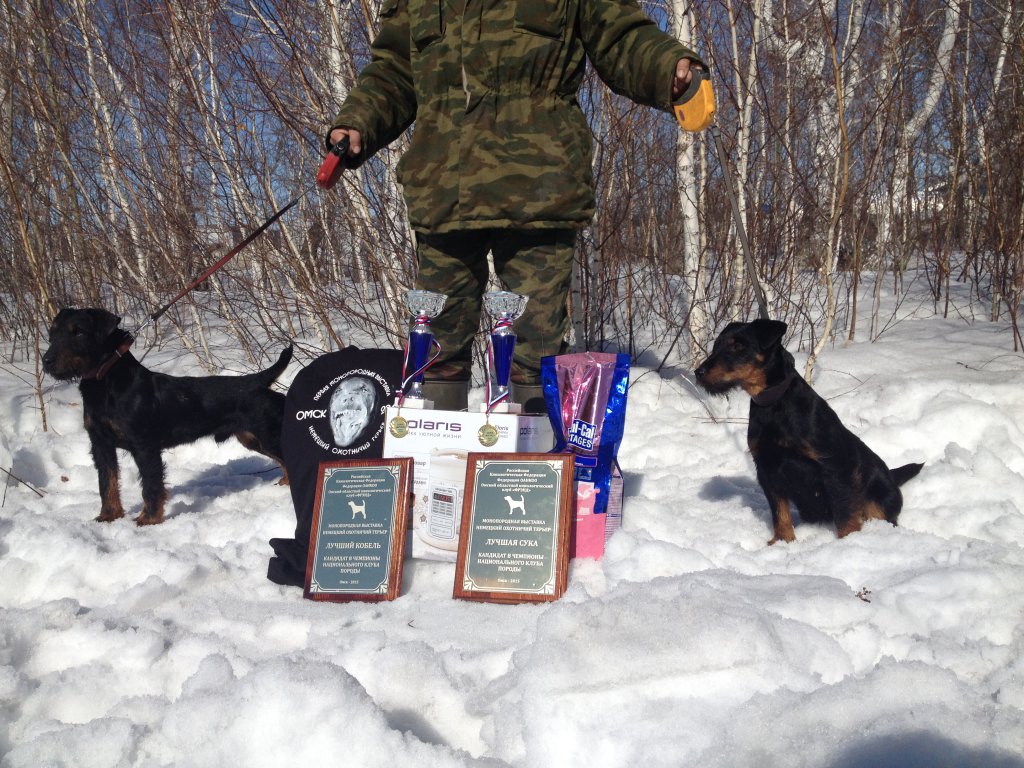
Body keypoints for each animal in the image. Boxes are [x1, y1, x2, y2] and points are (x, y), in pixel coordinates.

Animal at [42, 307, 292, 525]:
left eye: (79, 332)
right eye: (53, 333)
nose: (46, 360)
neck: (106, 381)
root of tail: (257, 381)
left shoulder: (144, 447)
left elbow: (151, 486)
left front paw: (149, 519)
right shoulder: (101, 445)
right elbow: (107, 483)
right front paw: (109, 515)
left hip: (267, 435)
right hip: (251, 438)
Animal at [694, 319, 923, 543]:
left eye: (738, 346)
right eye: (716, 346)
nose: (699, 373)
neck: (774, 404)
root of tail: (892, 477)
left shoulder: (835, 468)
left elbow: (844, 512)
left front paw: (848, 541)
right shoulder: (767, 469)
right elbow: (780, 513)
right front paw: (782, 542)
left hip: (879, 498)